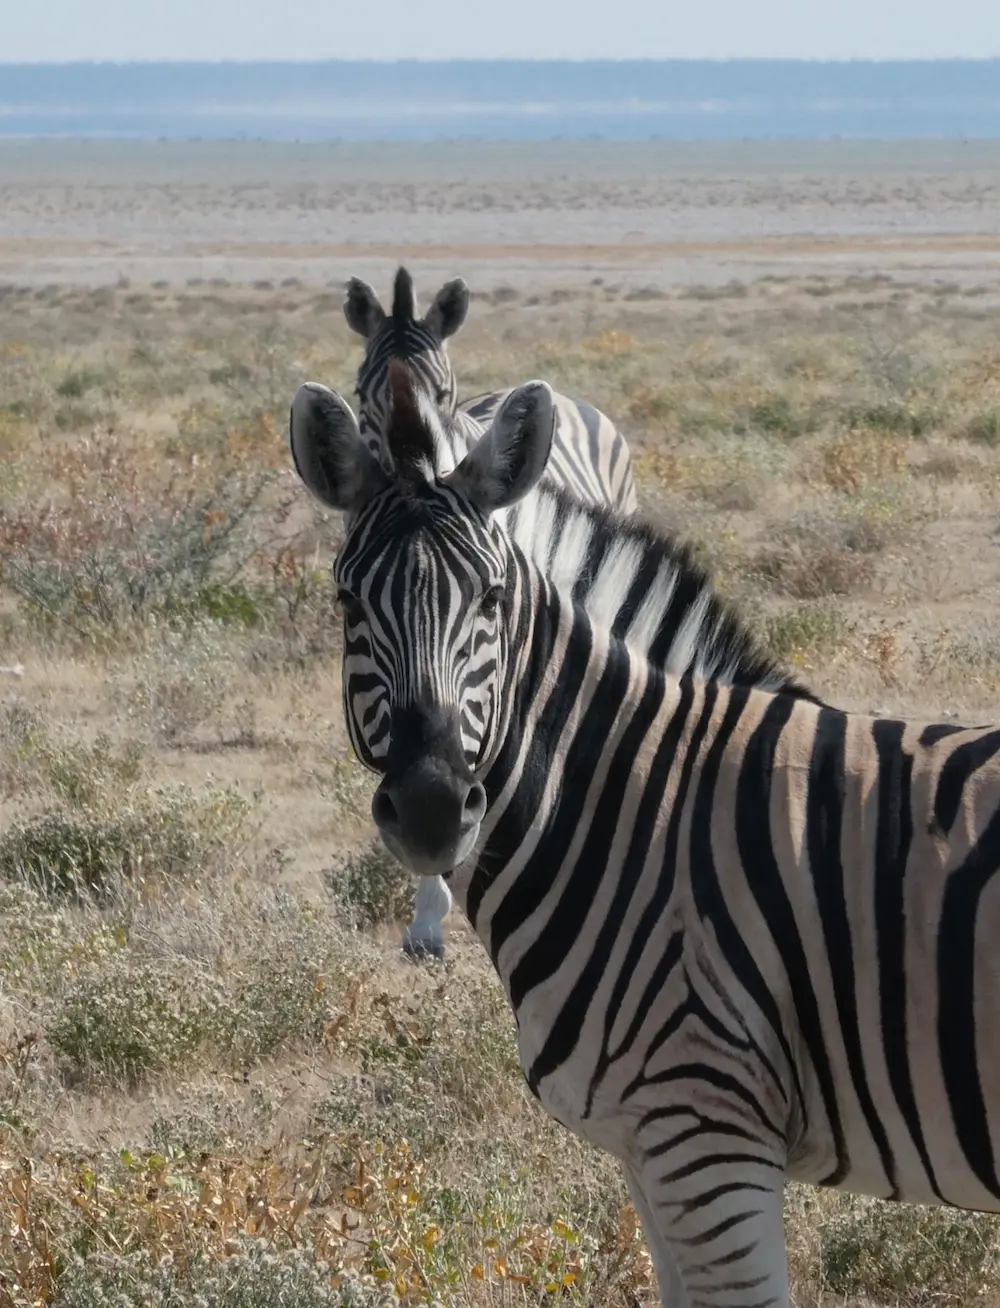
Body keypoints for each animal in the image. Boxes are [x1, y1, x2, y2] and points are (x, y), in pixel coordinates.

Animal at [290, 363, 1000, 1308]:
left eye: (491, 600)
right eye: (345, 603)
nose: (435, 805)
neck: (640, 813)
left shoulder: (706, 1140)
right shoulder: (648, 1148)